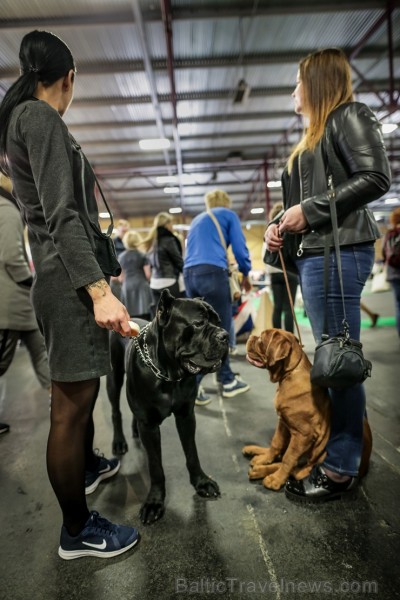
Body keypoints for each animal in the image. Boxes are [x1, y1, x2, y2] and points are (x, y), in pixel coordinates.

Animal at [108, 290, 230, 524]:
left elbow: (192, 453)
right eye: (199, 323)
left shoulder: (186, 416)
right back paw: (119, 442)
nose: (225, 335)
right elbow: (156, 467)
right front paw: (155, 502)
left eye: (218, 321)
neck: (169, 375)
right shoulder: (149, 425)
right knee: (116, 411)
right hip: (114, 378)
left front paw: (201, 482)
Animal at [241, 328, 372, 492]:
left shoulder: (303, 435)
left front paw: (276, 479)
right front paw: (266, 459)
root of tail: (364, 467)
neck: (290, 374)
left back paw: (260, 470)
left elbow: (288, 458)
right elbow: (276, 443)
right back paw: (256, 453)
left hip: (319, 455)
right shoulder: (283, 422)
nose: (252, 336)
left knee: (296, 469)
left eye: (261, 339)